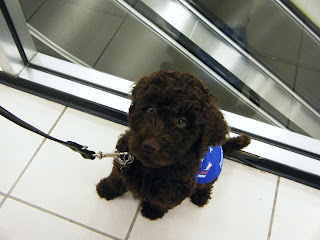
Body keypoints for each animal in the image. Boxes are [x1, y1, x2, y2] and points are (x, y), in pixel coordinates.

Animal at [96, 69, 251, 219]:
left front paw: (152, 212)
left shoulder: (177, 190)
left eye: (181, 122)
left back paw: (201, 197)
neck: (151, 167)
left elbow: (163, 202)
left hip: (211, 174)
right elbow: (117, 177)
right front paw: (106, 188)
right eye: (151, 109)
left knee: (207, 185)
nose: (149, 145)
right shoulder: (123, 158)